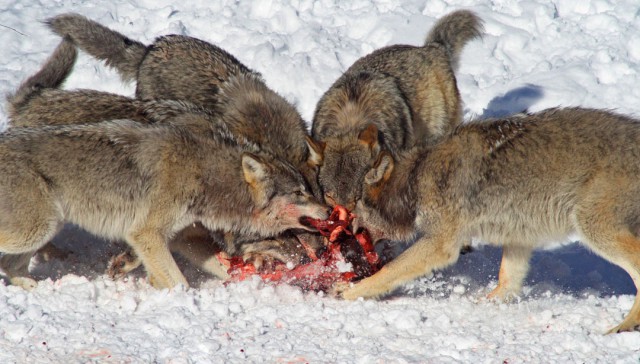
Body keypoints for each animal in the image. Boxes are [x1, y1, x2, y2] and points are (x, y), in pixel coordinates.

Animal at [342, 106, 640, 334]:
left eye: (354, 207)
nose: (349, 231)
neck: (417, 175)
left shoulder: (440, 244)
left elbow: (388, 271)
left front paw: (348, 291)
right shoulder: (519, 236)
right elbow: (507, 279)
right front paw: (487, 304)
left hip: (593, 228)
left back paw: (624, 326)